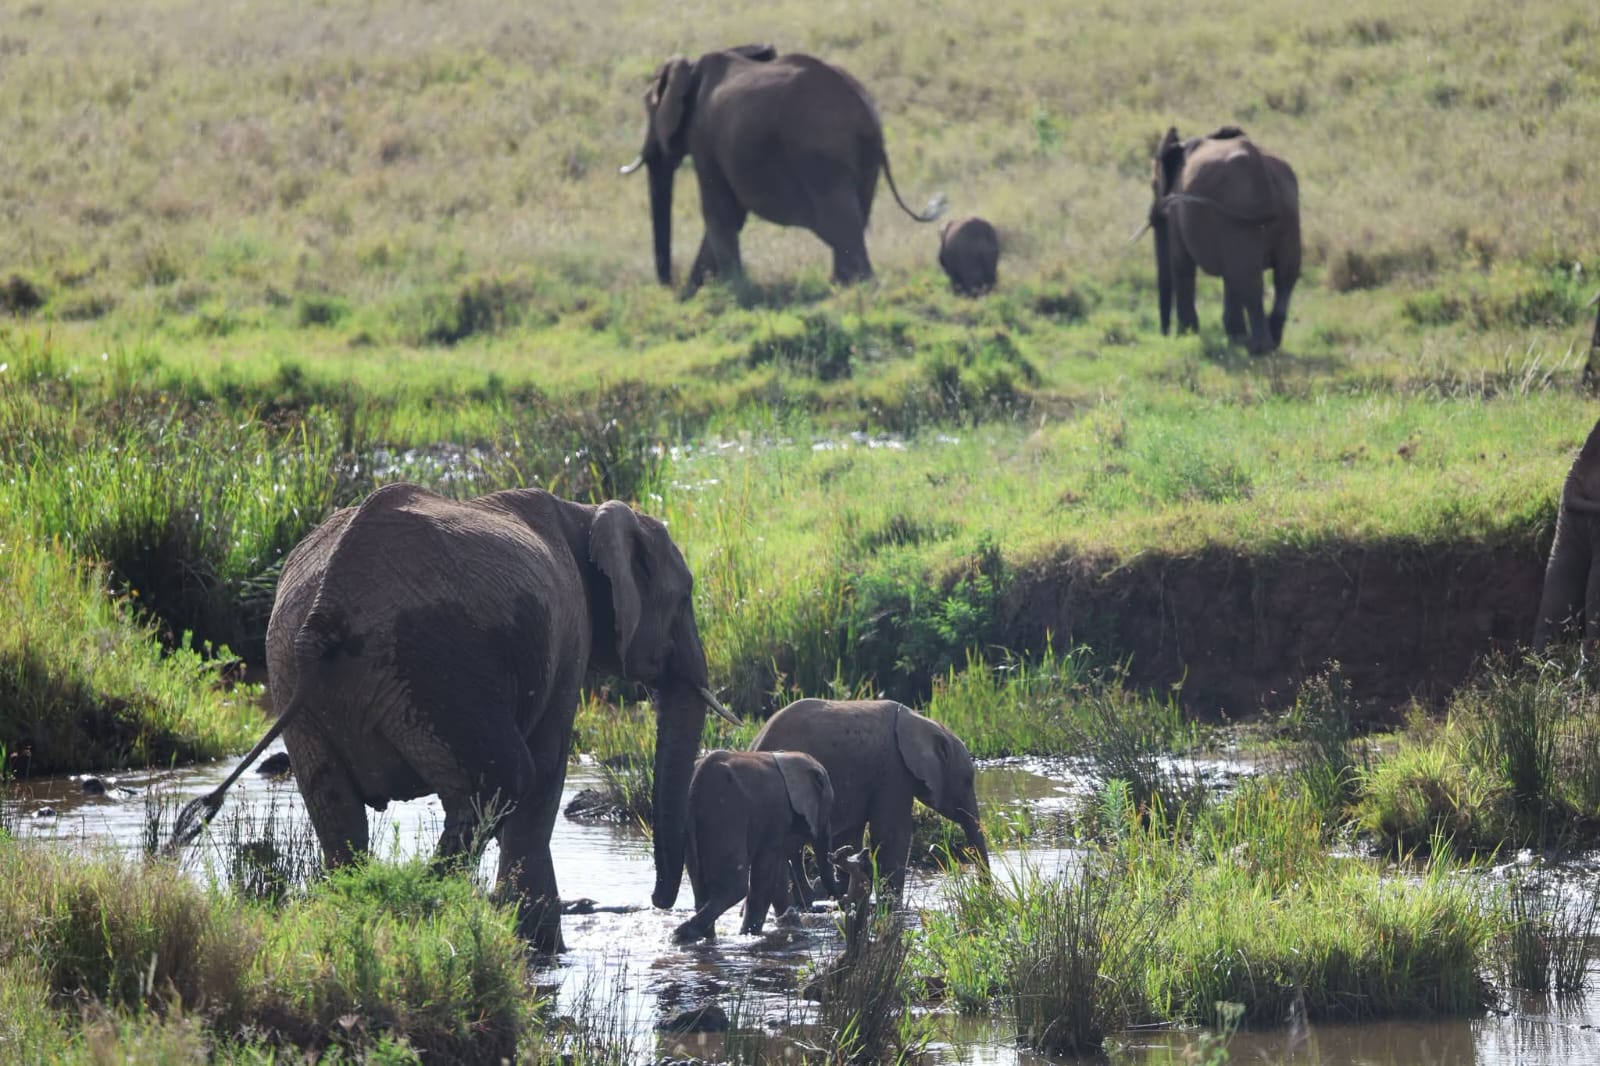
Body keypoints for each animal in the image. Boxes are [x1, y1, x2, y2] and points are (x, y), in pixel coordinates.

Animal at [167, 482, 733, 954]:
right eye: (685, 596)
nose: (661, 904)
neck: (585, 513)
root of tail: (323, 613)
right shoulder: (568, 635)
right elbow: (545, 776)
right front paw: (543, 953)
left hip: (298, 673)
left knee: (336, 810)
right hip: (436, 663)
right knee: (504, 781)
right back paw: (418, 911)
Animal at [620, 45, 940, 295]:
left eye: (648, 109)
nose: (670, 285)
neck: (691, 67)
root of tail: (865, 108)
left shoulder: (704, 138)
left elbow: (720, 212)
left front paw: (732, 291)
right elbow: (729, 214)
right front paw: (698, 291)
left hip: (821, 154)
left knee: (840, 218)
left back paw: (859, 286)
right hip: (863, 159)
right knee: (855, 216)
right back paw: (843, 285)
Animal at [672, 749, 839, 943]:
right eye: (828, 807)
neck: (788, 757)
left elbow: (778, 877)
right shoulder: (777, 813)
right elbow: (766, 874)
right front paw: (750, 934)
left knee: (698, 881)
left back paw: (705, 936)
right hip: (725, 814)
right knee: (735, 887)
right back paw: (682, 934)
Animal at [750, 699, 989, 901]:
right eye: (967, 781)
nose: (983, 891)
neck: (924, 723)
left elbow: (850, 835)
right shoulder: (894, 772)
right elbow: (892, 834)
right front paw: (891, 904)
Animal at [1141, 125, 1301, 354]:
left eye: (1154, 184)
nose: (1164, 335)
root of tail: (1261, 170)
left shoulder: (1177, 209)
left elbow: (1181, 263)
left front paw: (1186, 336)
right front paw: (1234, 338)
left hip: (1239, 217)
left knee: (1249, 278)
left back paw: (1258, 347)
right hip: (1288, 213)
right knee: (1285, 276)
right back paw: (1270, 342)